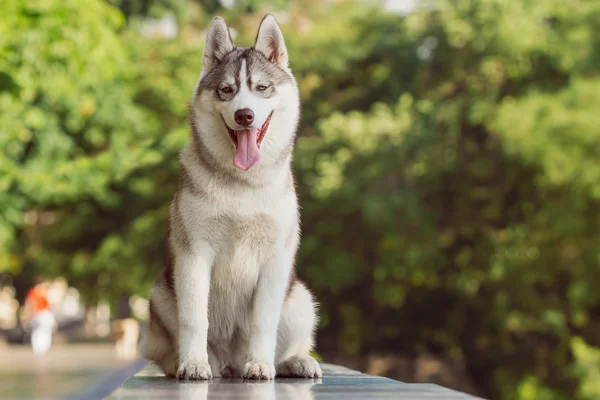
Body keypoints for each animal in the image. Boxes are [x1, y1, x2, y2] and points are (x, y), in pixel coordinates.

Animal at [140, 14, 322, 380]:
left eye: (261, 88)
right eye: (226, 90)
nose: (244, 115)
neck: (242, 185)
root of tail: (231, 363)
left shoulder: (274, 259)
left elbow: (264, 321)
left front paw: (262, 363)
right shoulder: (194, 253)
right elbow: (194, 318)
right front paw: (194, 362)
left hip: (300, 299)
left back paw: (293, 361)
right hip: (161, 294)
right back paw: (197, 362)